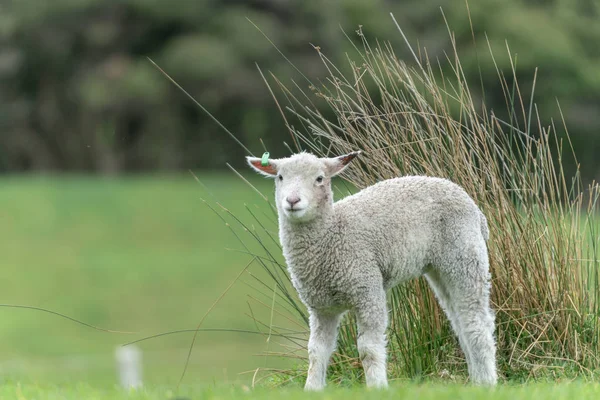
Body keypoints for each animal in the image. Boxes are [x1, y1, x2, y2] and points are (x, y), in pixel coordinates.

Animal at [245, 151, 496, 390]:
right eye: (280, 177)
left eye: (319, 179)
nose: (292, 200)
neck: (331, 236)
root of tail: (474, 208)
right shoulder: (321, 308)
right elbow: (316, 351)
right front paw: (312, 388)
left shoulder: (367, 289)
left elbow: (368, 349)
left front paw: (377, 386)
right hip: (440, 269)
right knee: (460, 323)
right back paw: (476, 382)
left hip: (465, 256)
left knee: (477, 324)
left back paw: (488, 383)